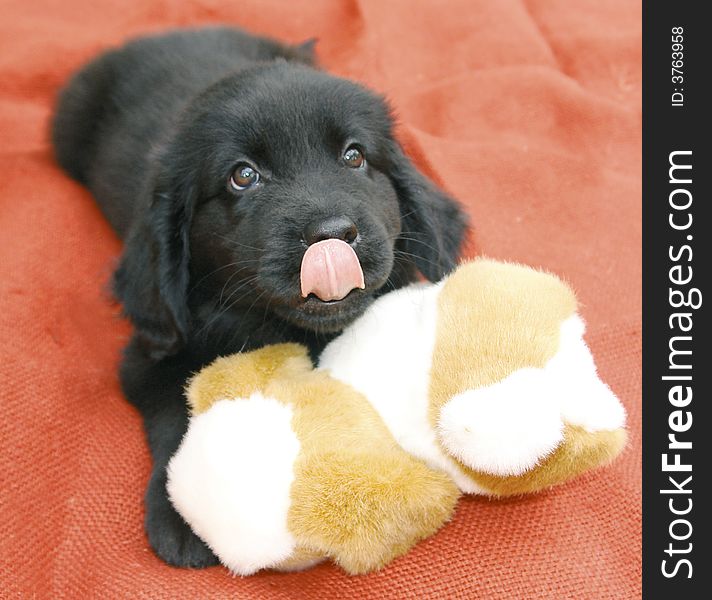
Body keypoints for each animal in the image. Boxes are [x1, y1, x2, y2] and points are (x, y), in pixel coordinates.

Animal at [50, 25, 468, 568]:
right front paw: (187, 510)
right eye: (243, 176)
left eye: (354, 156)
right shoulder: (150, 352)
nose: (332, 235)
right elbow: (180, 413)